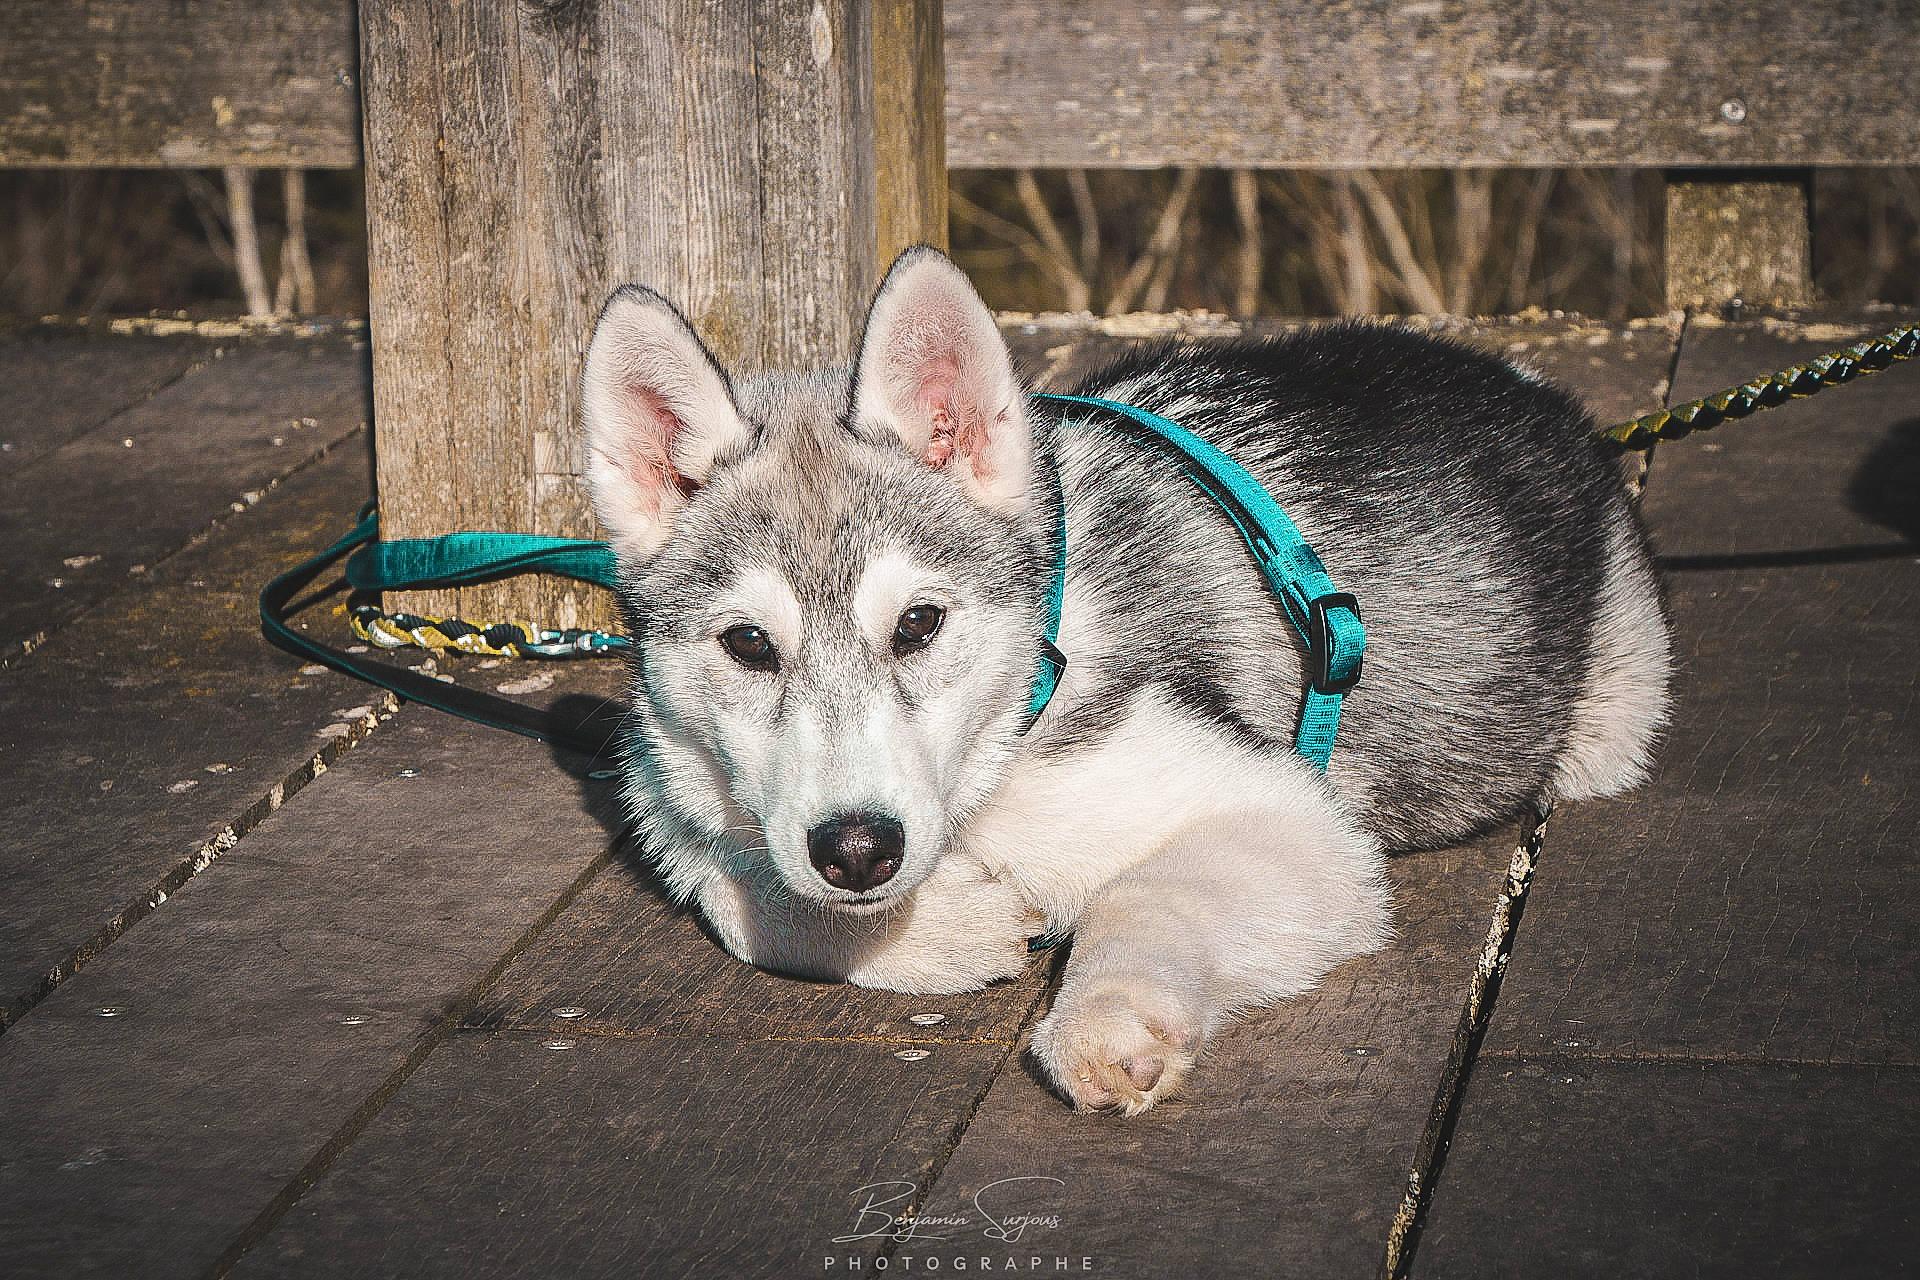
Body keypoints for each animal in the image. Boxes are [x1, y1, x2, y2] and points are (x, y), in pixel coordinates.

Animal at [580, 246, 1670, 1115]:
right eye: (749, 645)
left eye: (919, 624)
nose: (858, 850)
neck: (1017, 716)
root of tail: (1528, 387)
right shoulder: (671, 783)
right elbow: (735, 889)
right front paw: (949, 925)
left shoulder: (1295, 818)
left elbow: (1137, 896)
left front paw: (1107, 1012)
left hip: (1614, 712)